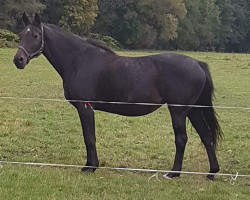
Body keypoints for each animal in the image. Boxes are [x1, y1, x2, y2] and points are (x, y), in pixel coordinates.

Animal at [13, 12, 223, 181]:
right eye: (22, 35)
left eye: (35, 35)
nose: (18, 60)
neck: (79, 60)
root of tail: (197, 63)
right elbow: (88, 137)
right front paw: (88, 165)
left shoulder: (85, 107)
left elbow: (89, 137)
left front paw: (91, 167)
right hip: (193, 110)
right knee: (206, 136)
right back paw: (212, 172)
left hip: (178, 111)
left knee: (181, 139)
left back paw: (173, 173)